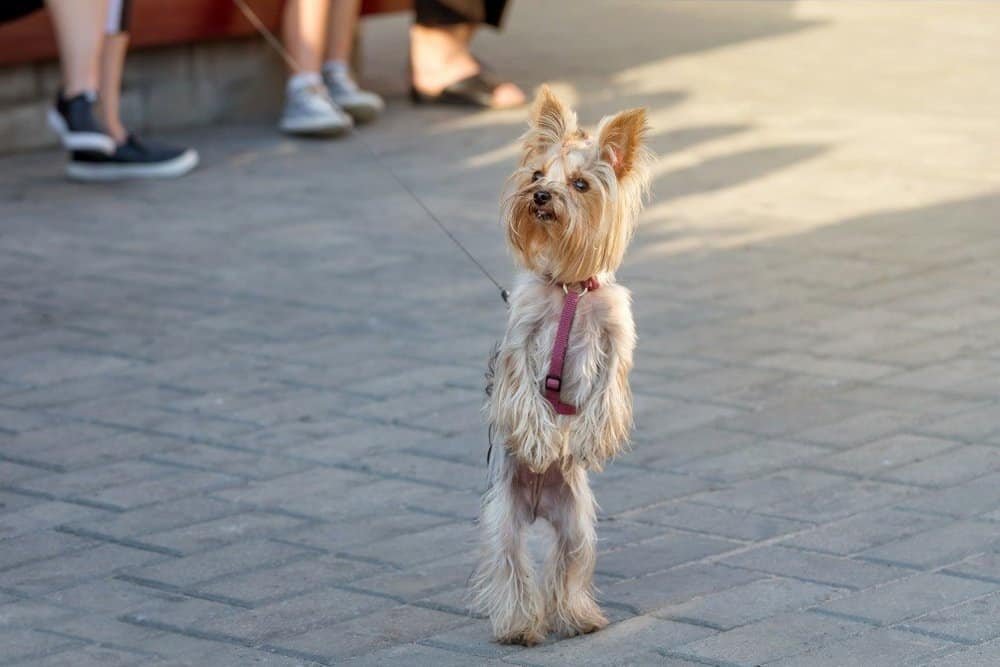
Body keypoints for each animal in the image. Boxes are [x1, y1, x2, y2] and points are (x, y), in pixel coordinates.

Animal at [476, 86, 656, 644]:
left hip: (578, 523)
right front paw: (540, 441)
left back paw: (578, 617)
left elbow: (608, 391)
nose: (540, 197)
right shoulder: (520, 338)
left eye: (579, 184)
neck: (570, 289)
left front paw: (589, 437)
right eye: (537, 175)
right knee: (512, 564)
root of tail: (538, 505)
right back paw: (519, 626)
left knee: (568, 564)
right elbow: (523, 389)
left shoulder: (617, 339)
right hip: (503, 518)